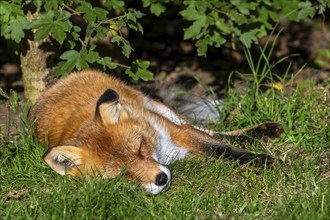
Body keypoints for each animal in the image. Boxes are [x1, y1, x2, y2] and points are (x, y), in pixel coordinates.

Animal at [31, 69, 282, 193]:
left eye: (140, 149)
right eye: (123, 175)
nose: (161, 179)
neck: (161, 153)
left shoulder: (175, 132)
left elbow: (222, 149)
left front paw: (260, 160)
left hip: (163, 112)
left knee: (208, 130)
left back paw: (262, 131)